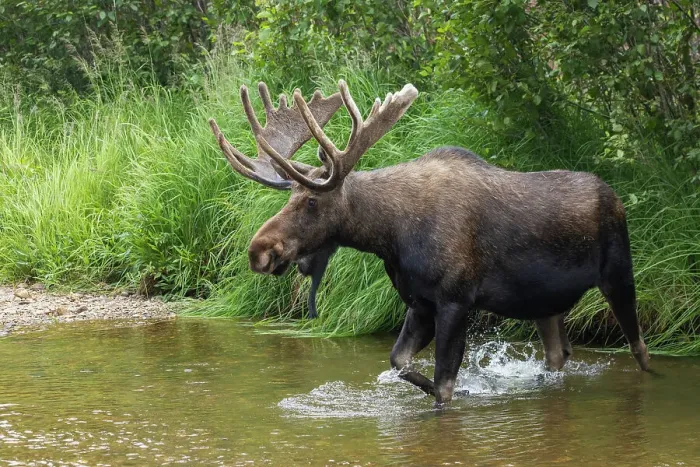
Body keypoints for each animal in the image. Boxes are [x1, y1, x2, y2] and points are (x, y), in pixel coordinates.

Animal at [208, 80, 651, 404]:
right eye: (290, 197)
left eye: (312, 200)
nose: (259, 251)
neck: (390, 236)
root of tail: (616, 197)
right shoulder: (419, 303)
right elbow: (399, 362)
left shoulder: (456, 300)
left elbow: (443, 385)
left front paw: (463, 389)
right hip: (544, 303)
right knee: (559, 355)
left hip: (619, 274)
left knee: (639, 347)